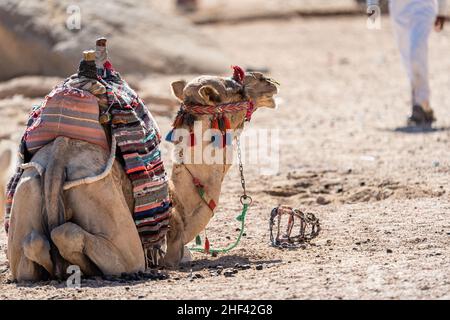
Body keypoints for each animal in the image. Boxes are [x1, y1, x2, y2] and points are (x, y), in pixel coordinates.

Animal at [7, 70, 278, 280]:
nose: (268, 81)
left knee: (34, 245)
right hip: (104, 204)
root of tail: (59, 155)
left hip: (28, 188)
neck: (177, 204)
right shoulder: (176, 249)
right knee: (73, 236)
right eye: (236, 89)